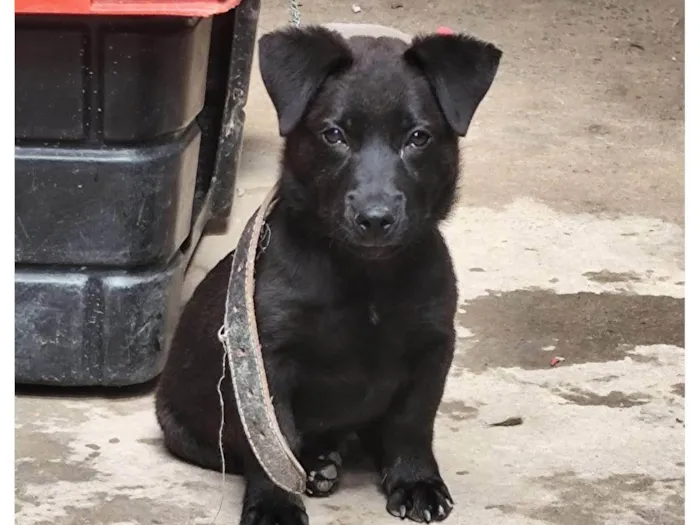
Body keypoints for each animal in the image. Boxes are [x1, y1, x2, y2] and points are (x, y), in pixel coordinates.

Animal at [156, 26, 500, 524]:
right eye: (334, 135)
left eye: (418, 137)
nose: (375, 218)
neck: (366, 276)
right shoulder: (268, 359)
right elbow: (272, 439)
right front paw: (276, 503)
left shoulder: (433, 344)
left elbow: (413, 421)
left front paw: (416, 481)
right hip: (186, 429)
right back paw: (316, 465)